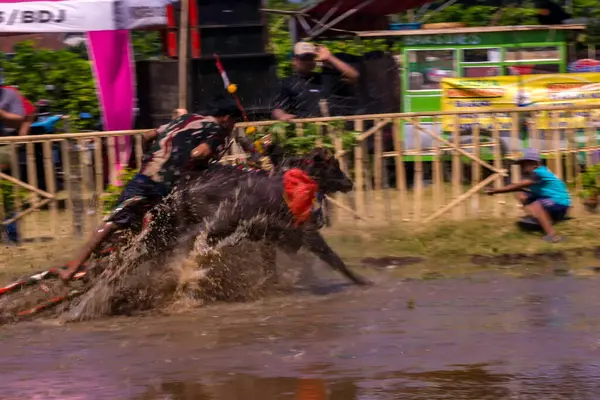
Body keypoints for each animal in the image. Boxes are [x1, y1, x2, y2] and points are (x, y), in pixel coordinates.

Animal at [146, 148, 370, 286]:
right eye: (334, 165)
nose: (349, 182)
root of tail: (185, 190)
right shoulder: (307, 234)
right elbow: (333, 257)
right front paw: (361, 280)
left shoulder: (269, 238)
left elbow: (269, 265)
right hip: (210, 229)